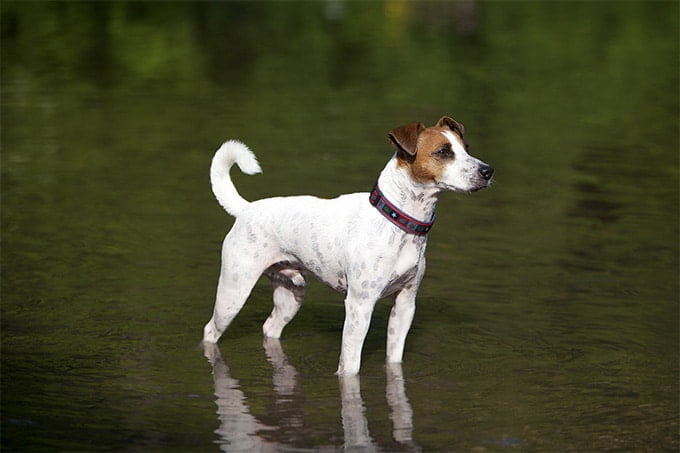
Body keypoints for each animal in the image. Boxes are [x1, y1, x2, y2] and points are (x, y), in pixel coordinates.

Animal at [202, 115, 494, 374]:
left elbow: (394, 358)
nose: (488, 171)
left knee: (270, 328)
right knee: (210, 330)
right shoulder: (359, 305)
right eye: (443, 151)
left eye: (466, 148)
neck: (396, 222)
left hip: (291, 294)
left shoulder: (405, 304)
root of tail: (246, 209)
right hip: (233, 294)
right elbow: (350, 366)